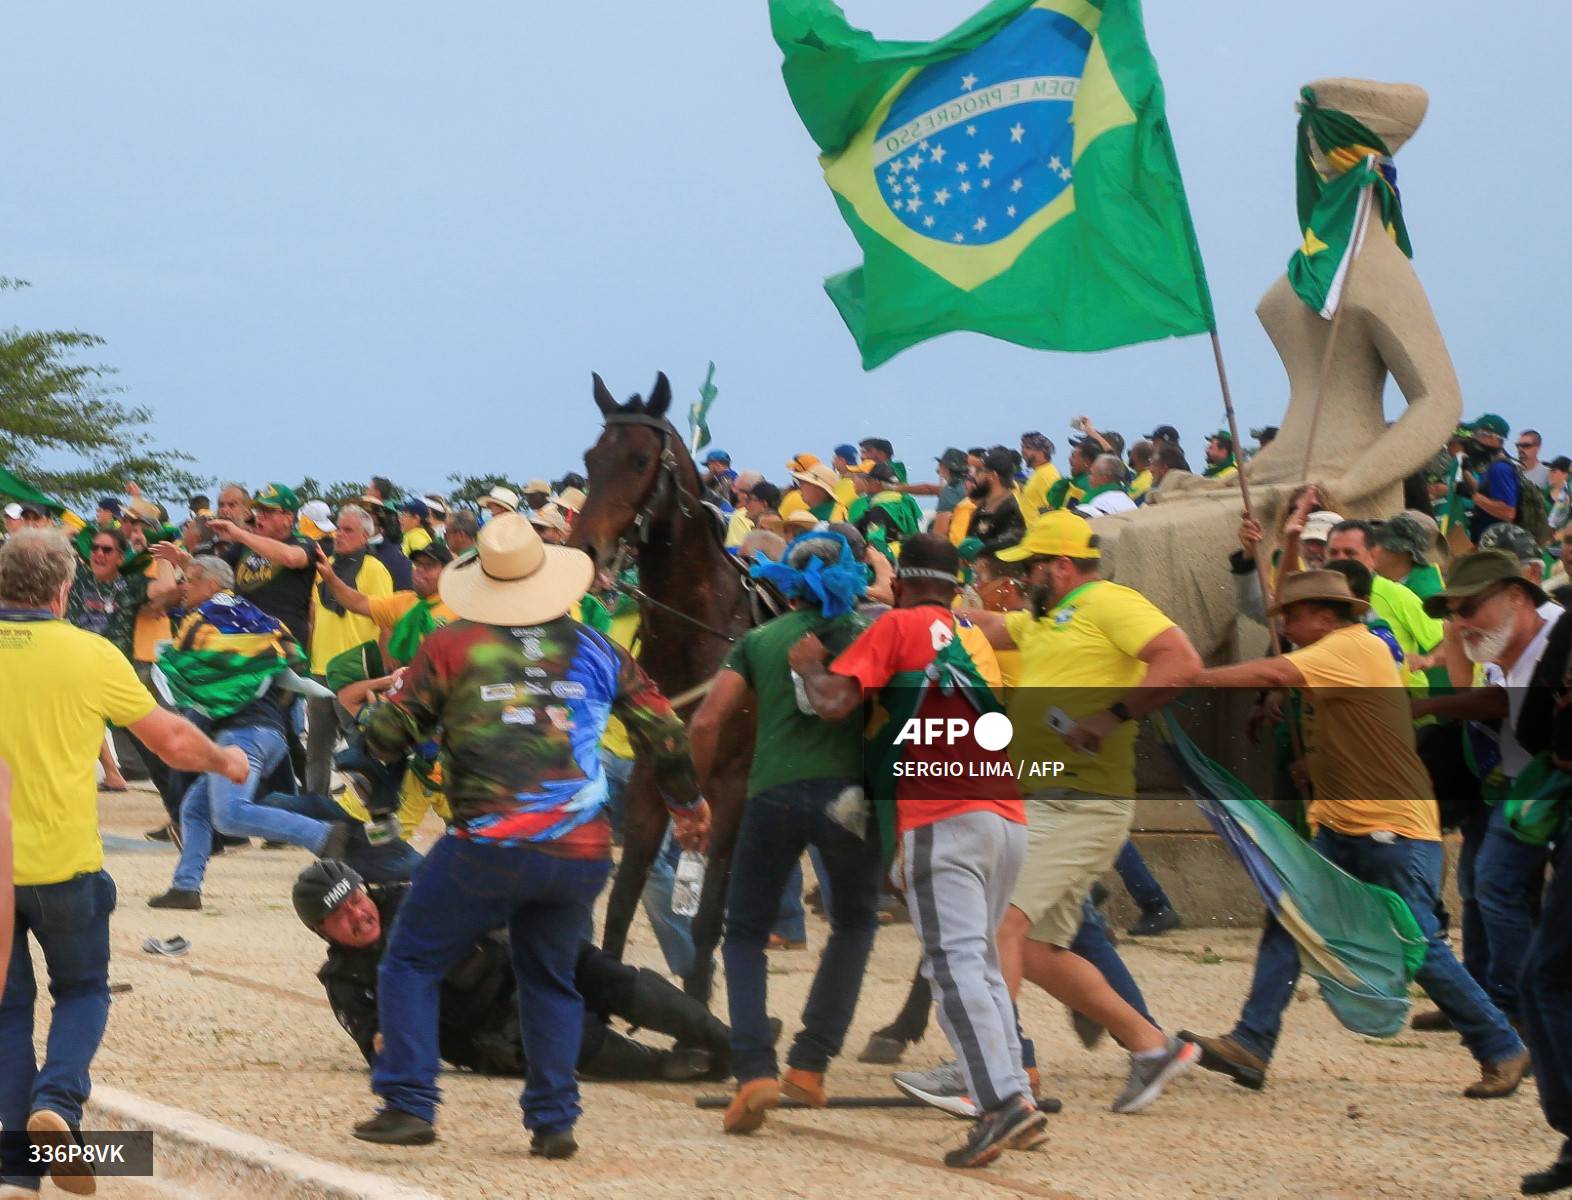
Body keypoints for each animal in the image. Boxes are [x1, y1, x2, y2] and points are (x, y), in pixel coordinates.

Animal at [569, 371, 757, 1006]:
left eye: (640, 459)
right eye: (590, 458)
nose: (584, 550)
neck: (699, 632)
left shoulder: (730, 787)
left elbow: (708, 916)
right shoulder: (651, 777)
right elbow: (623, 901)